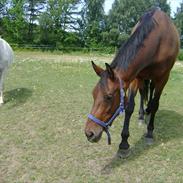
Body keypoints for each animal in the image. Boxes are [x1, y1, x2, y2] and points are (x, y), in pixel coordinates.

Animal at [85, 8, 179, 157]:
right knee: (143, 92)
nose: (89, 133)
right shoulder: (135, 76)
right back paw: (141, 115)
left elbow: (155, 103)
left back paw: (148, 112)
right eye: (93, 94)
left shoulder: (163, 78)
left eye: (109, 97)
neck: (158, 40)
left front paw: (150, 132)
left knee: (151, 93)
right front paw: (124, 144)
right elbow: (129, 107)